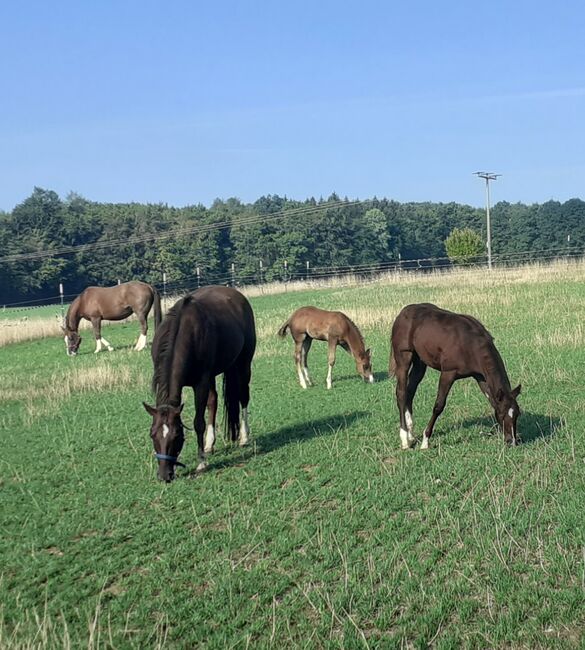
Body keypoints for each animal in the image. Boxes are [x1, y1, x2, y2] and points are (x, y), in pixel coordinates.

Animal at [143, 284, 254, 480]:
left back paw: (243, 437)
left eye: (176, 435)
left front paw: (201, 463)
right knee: (213, 401)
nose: (165, 475)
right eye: (152, 434)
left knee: (243, 396)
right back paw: (210, 444)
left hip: (243, 363)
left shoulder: (200, 383)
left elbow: (198, 422)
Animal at [388, 302, 520, 446]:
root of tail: (401, 313)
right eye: (502, 413)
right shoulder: (448, 374)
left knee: (410, 391)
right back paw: (405, 439)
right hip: (404, 357)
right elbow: (439, 406)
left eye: (517, 414)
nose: (511, 441)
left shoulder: (481, 377)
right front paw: (425, 440)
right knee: (401, 393)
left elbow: (491, 399)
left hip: (420, 362)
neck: (471, 344)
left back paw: (411, 434)